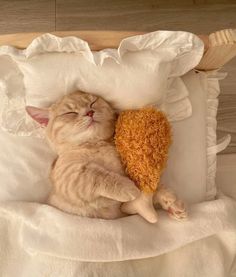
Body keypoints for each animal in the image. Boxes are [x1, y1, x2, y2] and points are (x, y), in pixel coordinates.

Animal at [26, 90, 186, 220]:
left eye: (93, 102)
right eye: (70, 113)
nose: (90, 112)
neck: (95, 144)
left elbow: (149, 182)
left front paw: (170, 202)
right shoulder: (67, 176)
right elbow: (97, 175)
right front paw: (129, 188)